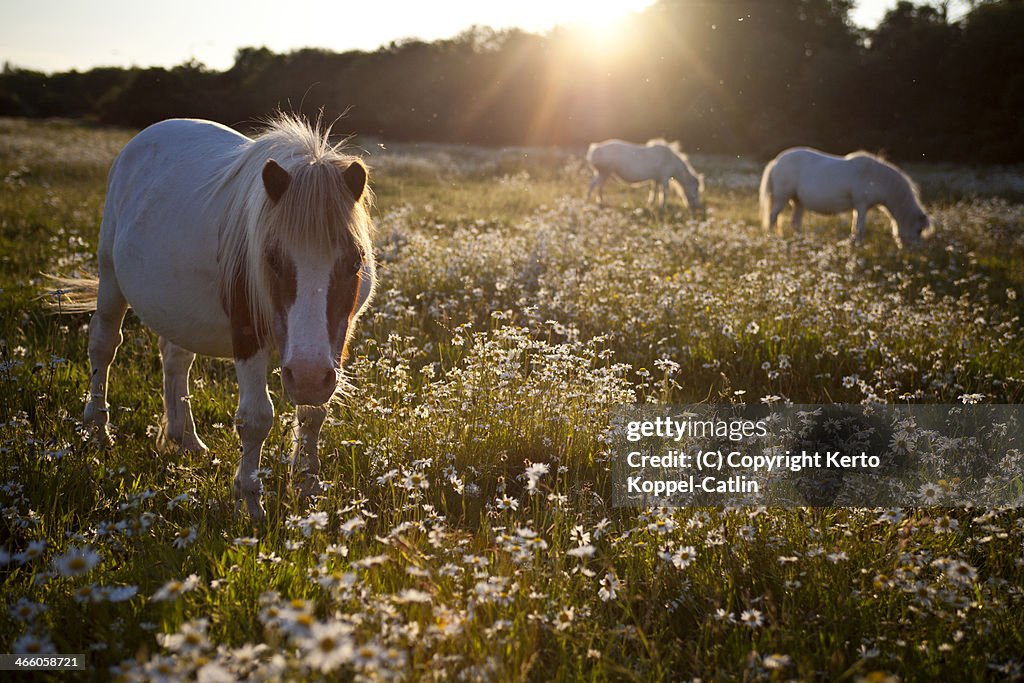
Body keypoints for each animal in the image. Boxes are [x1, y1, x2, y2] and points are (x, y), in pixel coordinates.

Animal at [51, 117, 376, 520]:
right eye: (271, 259)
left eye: (355, 261)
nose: (307, 377)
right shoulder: (249, 333)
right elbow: (256, 419)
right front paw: (250, 503)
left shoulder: (335, 340)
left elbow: (314, 413)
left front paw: (308, 488)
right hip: (110, 277)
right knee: (103, 346)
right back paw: (98, 432)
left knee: (176, 359)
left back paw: (185, 438)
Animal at [761, 147, 929, 248]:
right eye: (919, 230)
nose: (912, 252)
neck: (875, 178)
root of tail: (776, 161)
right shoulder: (861, 205)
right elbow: (860, 228)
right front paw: (858, 246)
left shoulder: (858, 207)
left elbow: (855, 227)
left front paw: (852, 244)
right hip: (782, 198)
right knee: (773, 217)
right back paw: (772, 239)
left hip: (798, 202)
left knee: (795, 222)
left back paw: (802, 241)